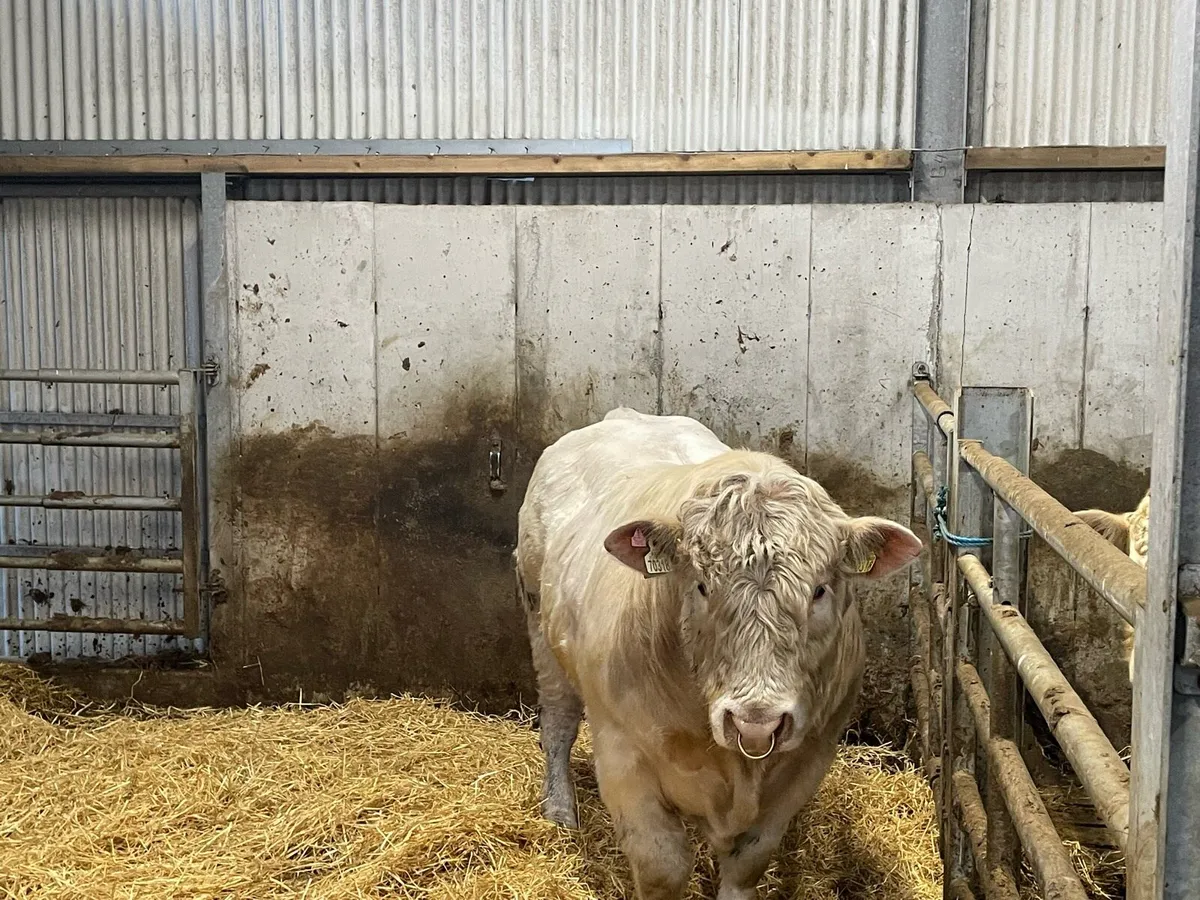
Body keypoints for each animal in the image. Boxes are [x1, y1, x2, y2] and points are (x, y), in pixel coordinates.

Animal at [515, 408, 922, 900]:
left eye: (820, 590)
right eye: (702, 586)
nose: (756, 721)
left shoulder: (809, 760)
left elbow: (747, 863)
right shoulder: (622, 754)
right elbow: (662, 867)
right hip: (540, 625)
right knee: (558, 723)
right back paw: (559, 811)